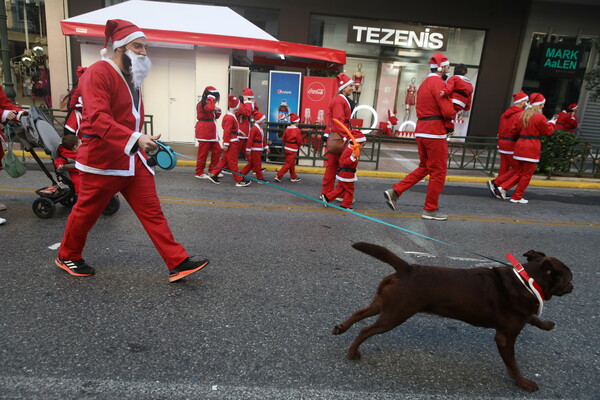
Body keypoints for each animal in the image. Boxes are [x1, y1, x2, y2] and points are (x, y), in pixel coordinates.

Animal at [332, 242, 572, 392]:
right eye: (569, 277)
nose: (573, 284)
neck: (526, 280)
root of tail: (407, 268)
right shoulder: (506, 336)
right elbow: (513, 365)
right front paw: (523, 383)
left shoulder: (519, 316)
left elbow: (532, 318)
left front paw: (547, 324)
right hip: (395, 313)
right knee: (366, 329)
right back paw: (353, 353)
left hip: (384, 304)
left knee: (359, 313)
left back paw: (341, 328)